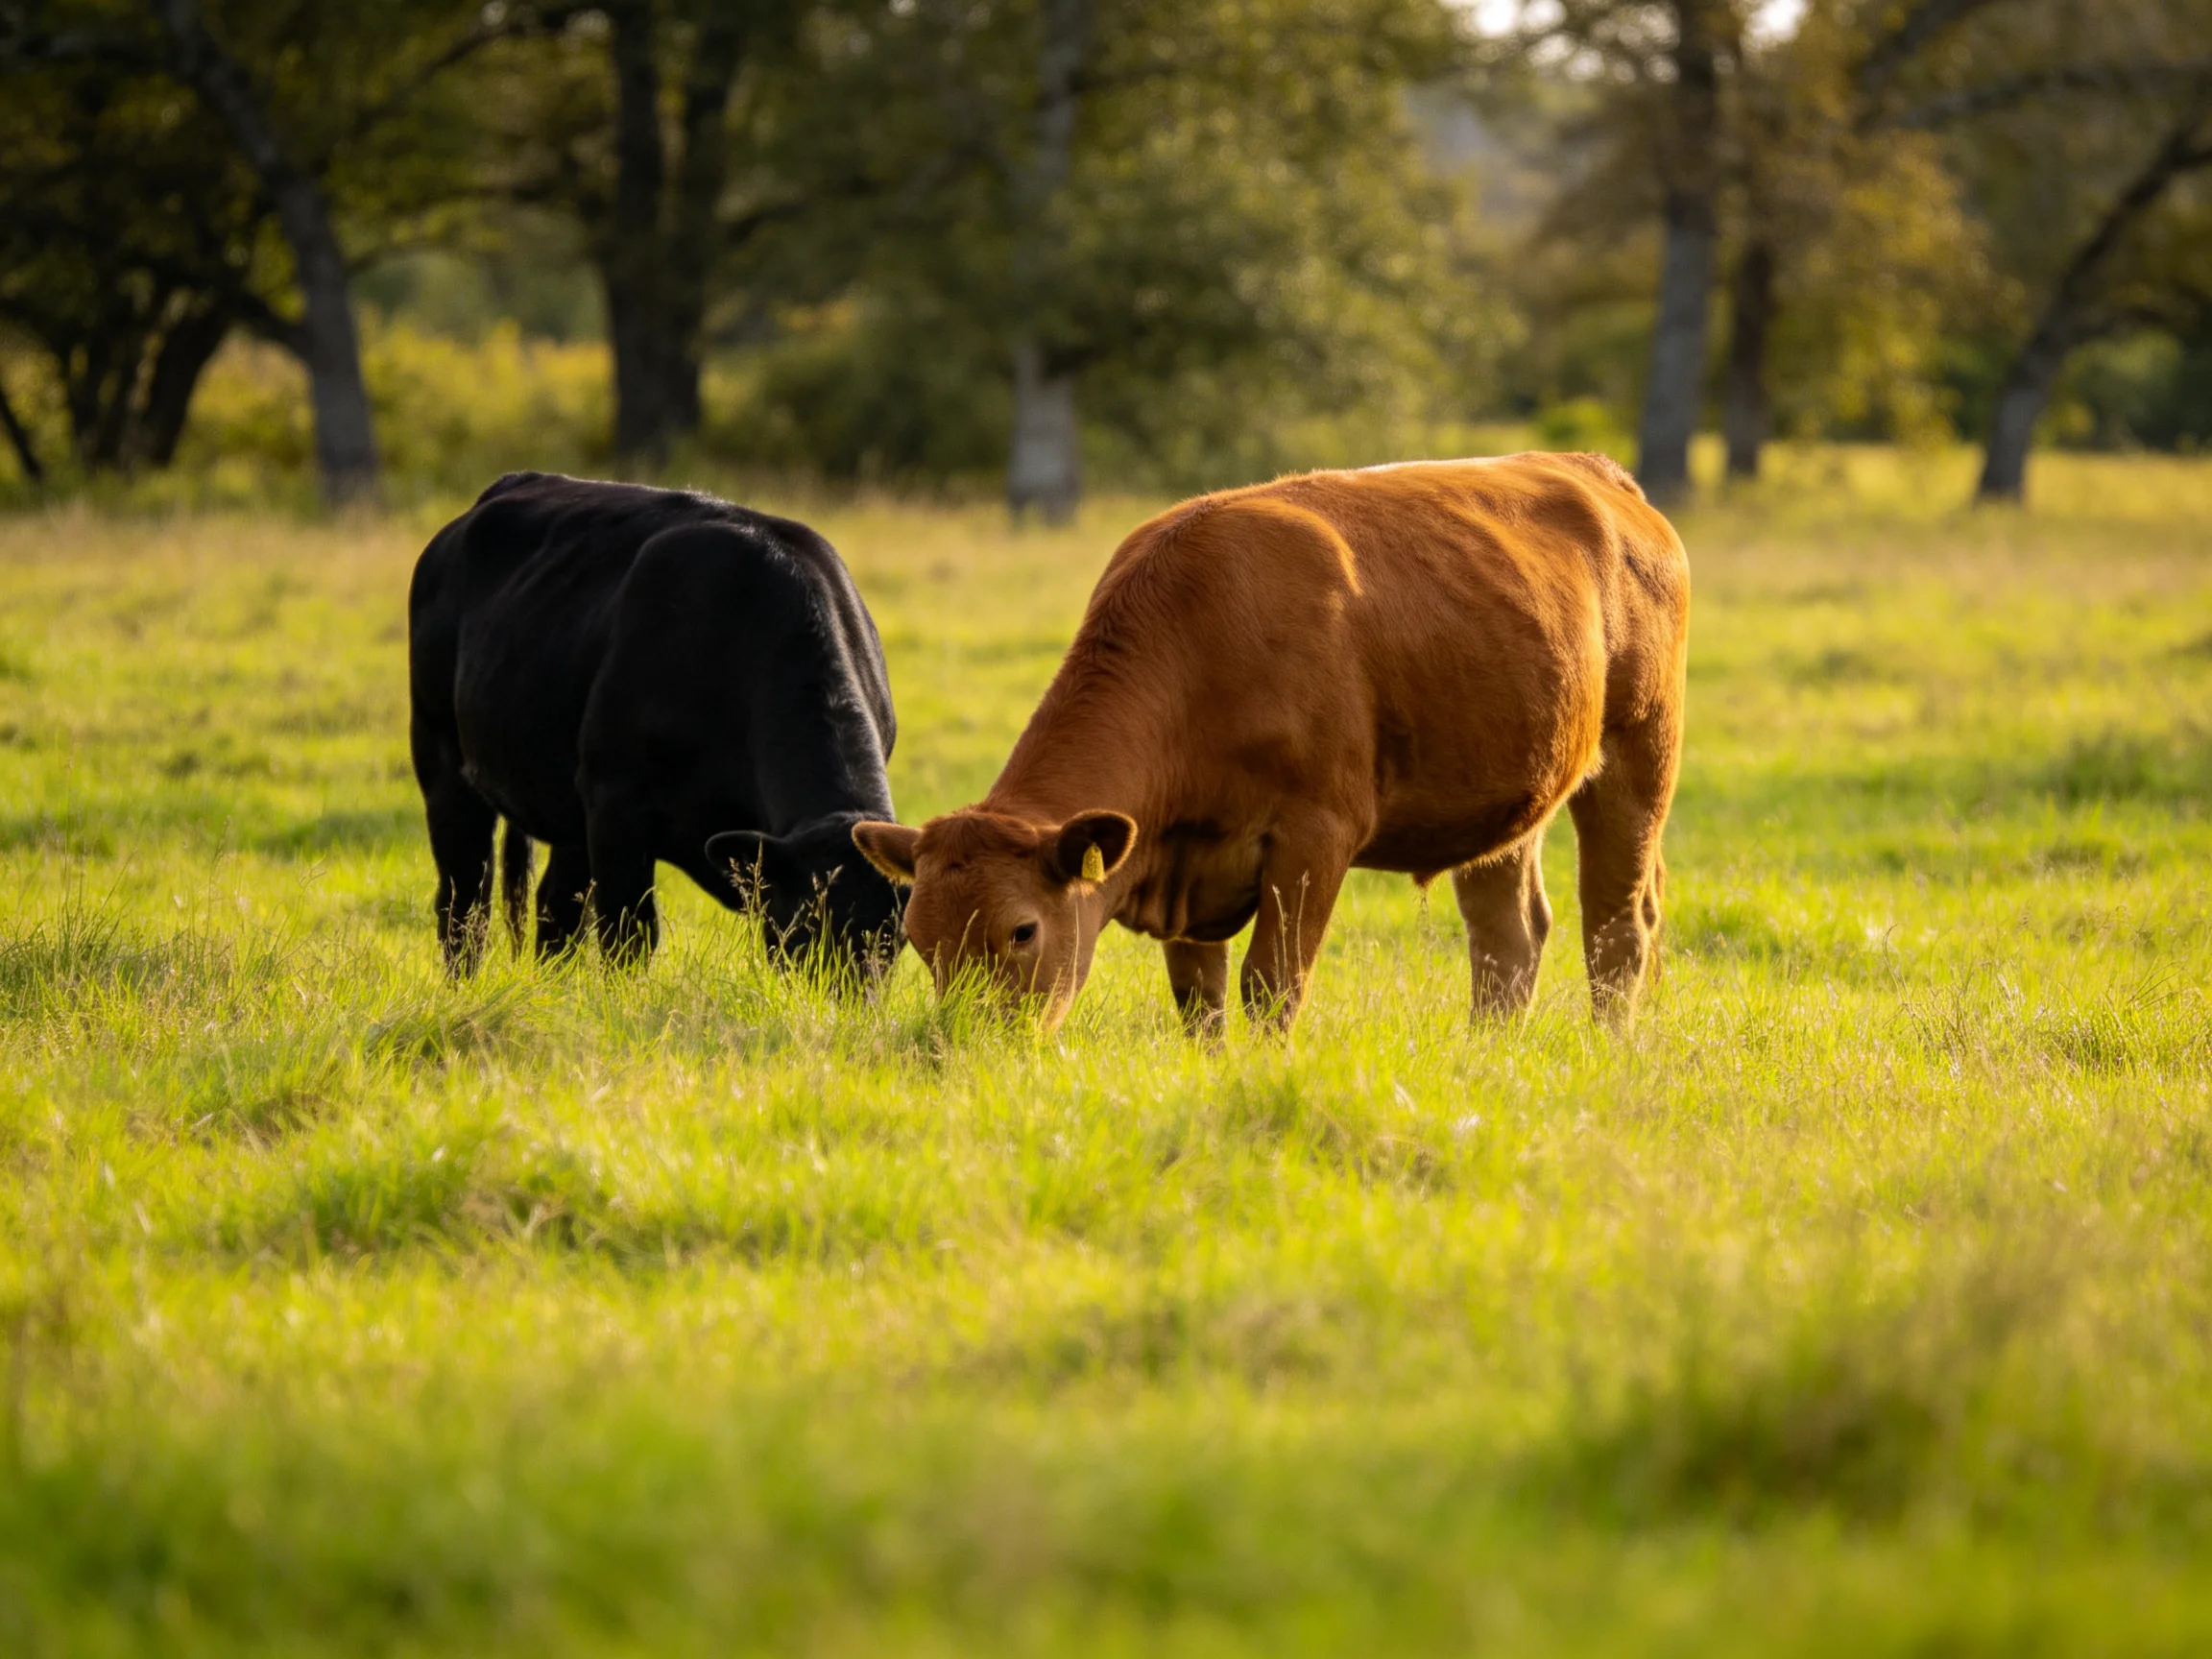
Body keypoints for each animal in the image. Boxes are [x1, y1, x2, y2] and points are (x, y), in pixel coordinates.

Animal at [408, 472, 905, 978]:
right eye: (805, 926)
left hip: (568, 805)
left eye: (895, 940)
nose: (848, 997)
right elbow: (628, 933)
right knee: (464, 903)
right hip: (441, 757)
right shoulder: (616, 804)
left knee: (555, 909)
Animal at [851, 454, 1689, 1035]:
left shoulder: (1316, 837)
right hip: (1507, 797)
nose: (965, 1043)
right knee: (1508, 937)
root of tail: (1594, 472)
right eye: (918, 940)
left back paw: (1608, 1046)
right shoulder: (1184, 867)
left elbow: (1271, 985)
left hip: (1639, 757)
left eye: (1022, 930)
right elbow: (1200, 1001)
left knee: (1615, 926)